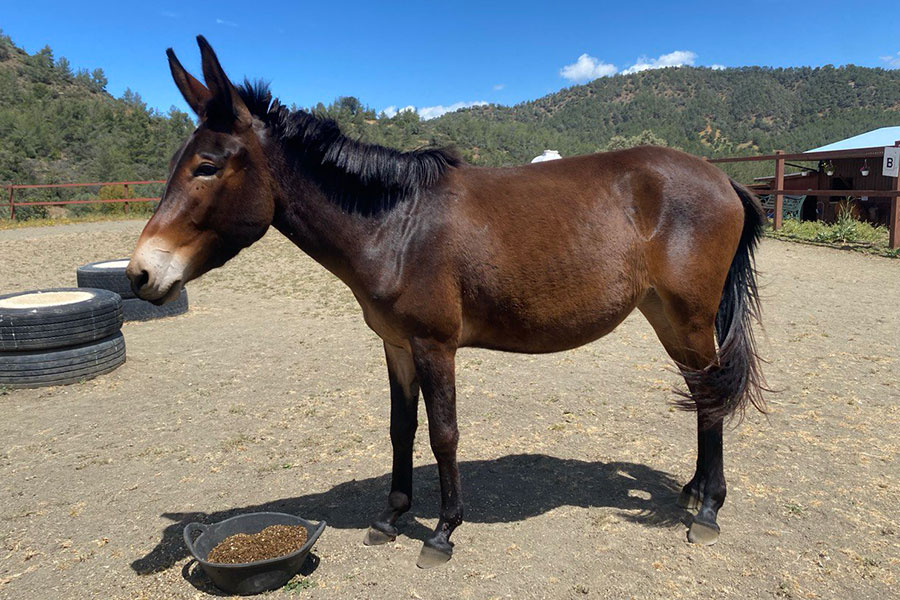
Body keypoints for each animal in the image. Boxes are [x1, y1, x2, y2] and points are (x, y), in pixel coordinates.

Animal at [127, 36, 766, 568]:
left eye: (207, 166)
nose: (140, 274)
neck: (398, 225)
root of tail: (722, 180)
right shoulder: (396, 345)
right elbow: (400, 428)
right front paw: (391, 517)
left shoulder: (435, 346)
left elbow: (444, 433)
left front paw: (442, 531)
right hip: (668, 318)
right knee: (703, 394)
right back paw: (692, 492)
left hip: (689, 318)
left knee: (712, 400)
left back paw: (709, 510)